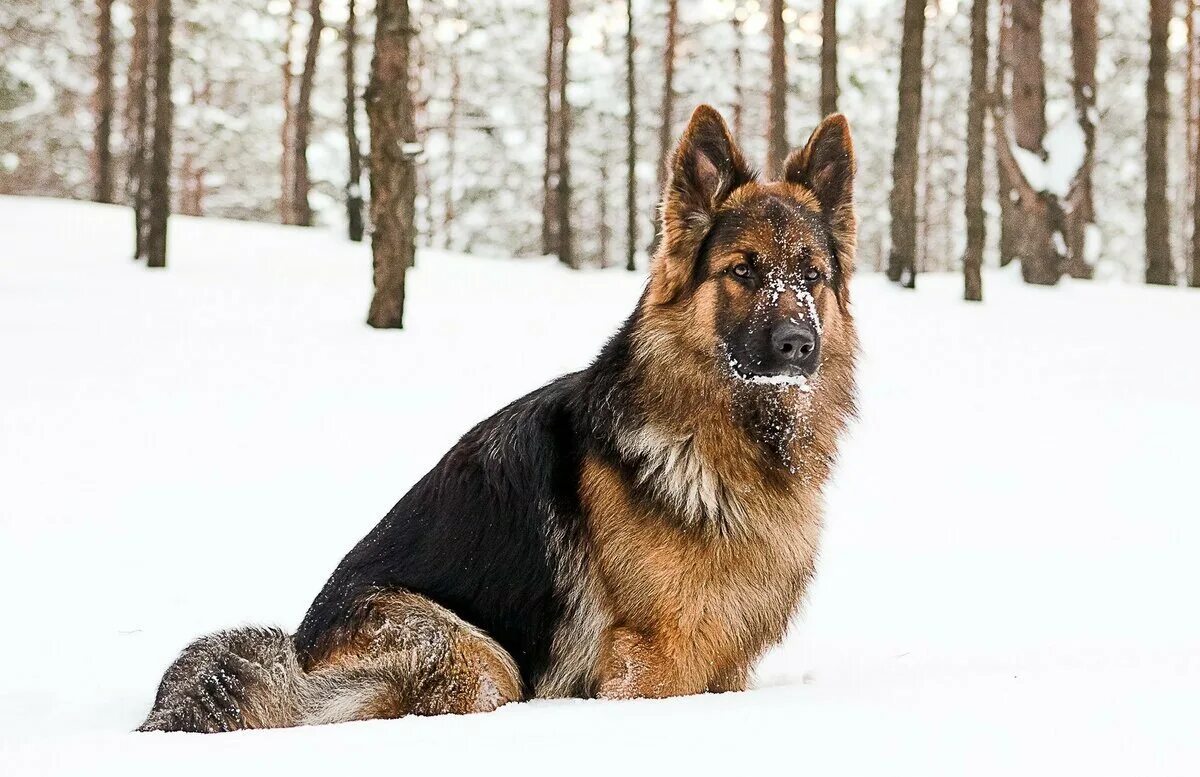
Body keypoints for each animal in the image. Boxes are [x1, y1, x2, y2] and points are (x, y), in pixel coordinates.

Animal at [138, 104, 854, 733]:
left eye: (812, 276)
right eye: (743, 271)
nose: (798, 345)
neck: (725, 436)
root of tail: (297, 653)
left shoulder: (726, 664)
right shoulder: (650, 660)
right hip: (480, 657)